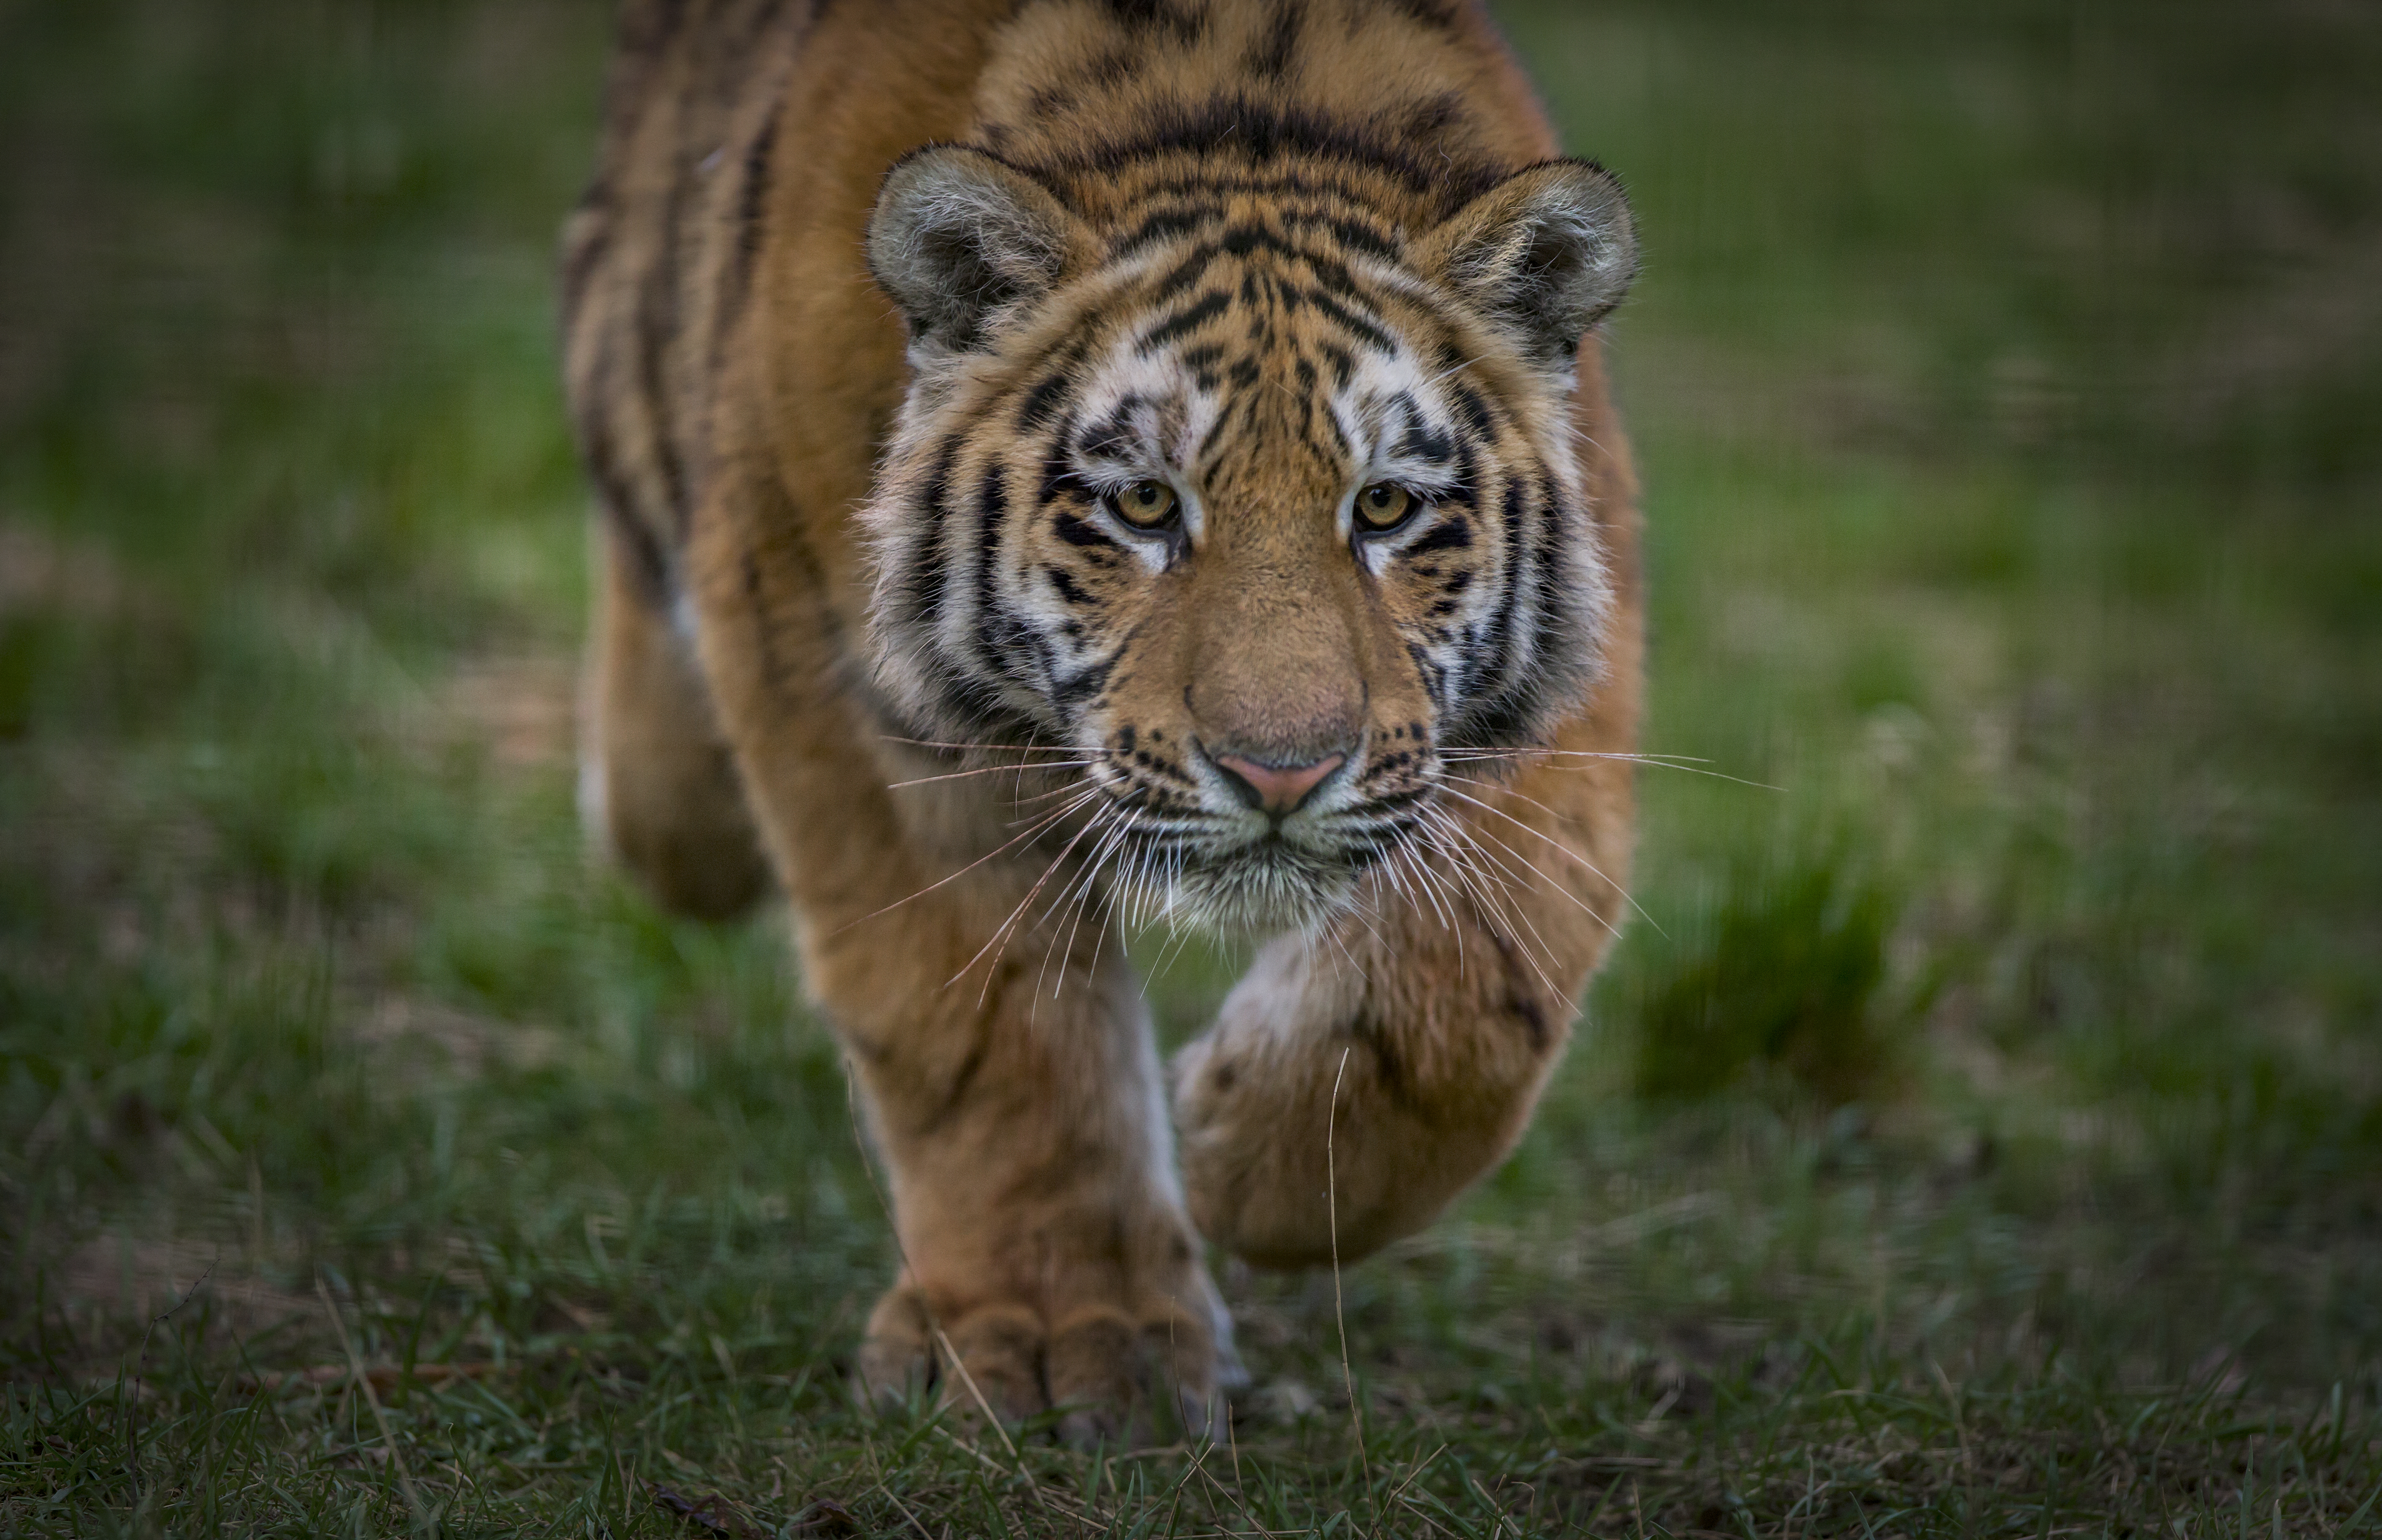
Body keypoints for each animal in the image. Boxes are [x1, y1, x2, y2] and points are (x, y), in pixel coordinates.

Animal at [564, 0, 1638, 1447]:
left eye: (1386, 507)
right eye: (1141, 504)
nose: (1281, 772)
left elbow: (1493, 965)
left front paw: (1262, 1162)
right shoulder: (831, 657)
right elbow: (985, 1036)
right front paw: (1064, 1333)